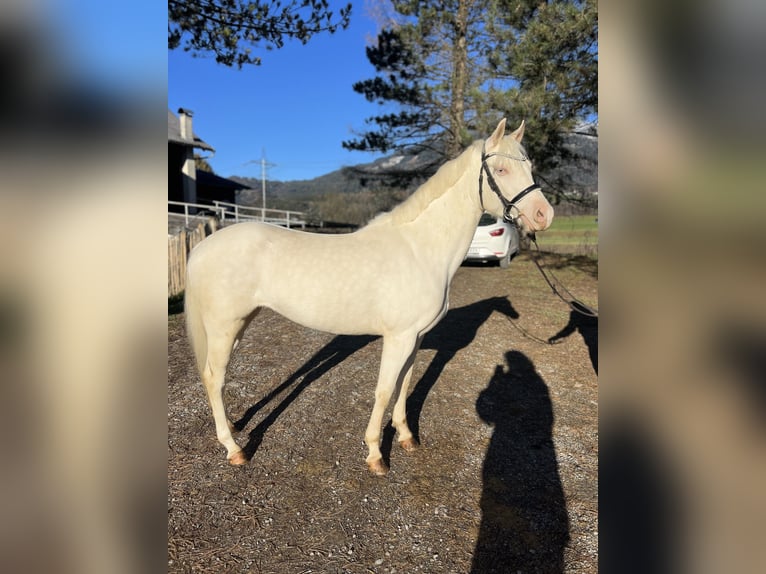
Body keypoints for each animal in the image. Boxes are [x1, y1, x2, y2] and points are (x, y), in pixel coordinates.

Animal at [186, 118, 560, 476]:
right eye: (501, 170)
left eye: (529, 166)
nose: (544, 216)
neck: (420, 249)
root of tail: (202, 248)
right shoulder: (398, 337)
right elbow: (383, 390)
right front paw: (376, 455)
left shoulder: (415, 337)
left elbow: (404, 385)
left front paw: (407, 437)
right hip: (223, 327)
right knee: (214, 376)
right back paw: (233, 448)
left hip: (239, 325)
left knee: (217, 377)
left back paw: (233, 426)